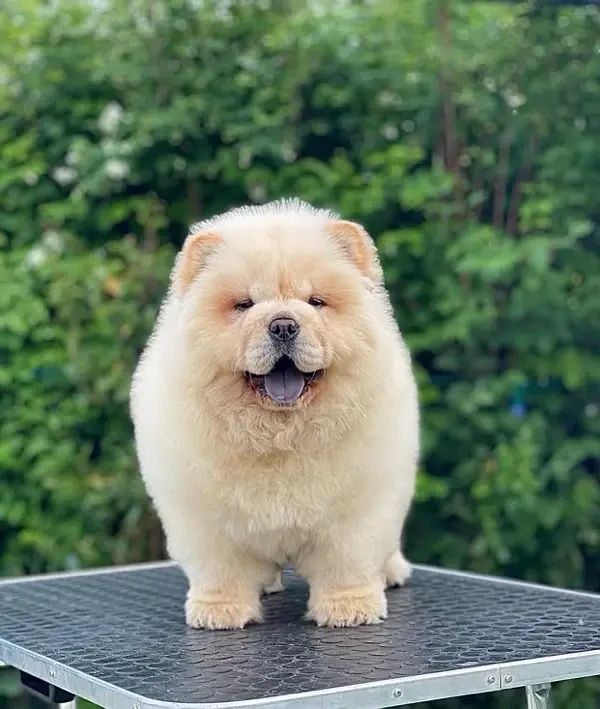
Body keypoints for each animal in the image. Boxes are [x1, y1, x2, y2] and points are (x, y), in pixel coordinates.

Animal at [129, 196, 420, 628]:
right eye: (244, 304)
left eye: (316, 302)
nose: (283, 325)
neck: (281, 433)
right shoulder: (207, 519)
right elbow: (221, 571)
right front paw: (219, 611)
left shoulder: (356, 510)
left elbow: (347, 563)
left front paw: (349, 608)